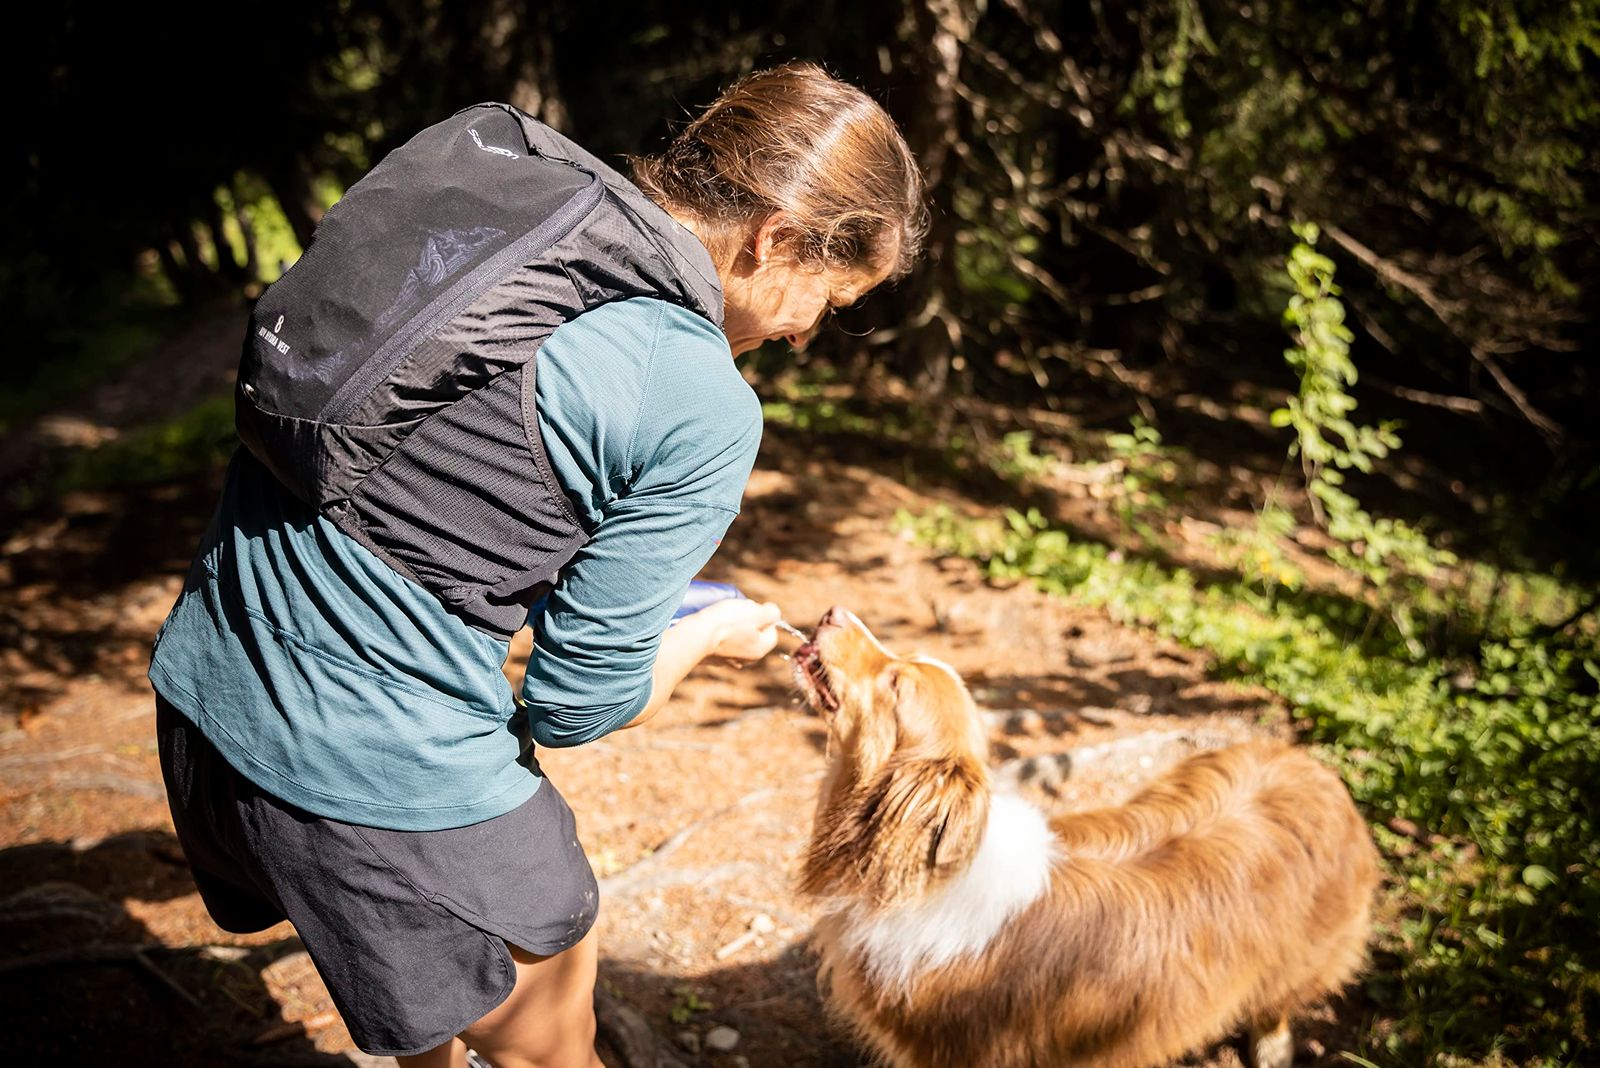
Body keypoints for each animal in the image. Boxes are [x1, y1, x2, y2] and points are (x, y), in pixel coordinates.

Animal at [793, 607, 1382, 1068]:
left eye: (896, 684)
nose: (834, 612)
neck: (917, 871)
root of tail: (1317, 770)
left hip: (1300, 956)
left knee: (1279, 1002)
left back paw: (1271, 1047)